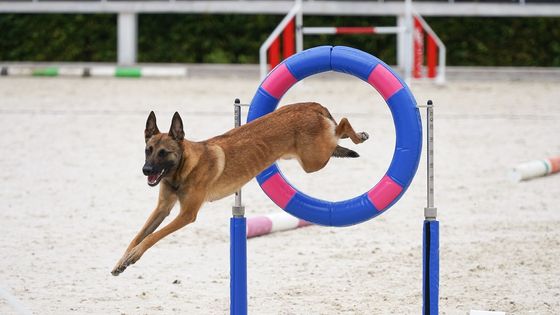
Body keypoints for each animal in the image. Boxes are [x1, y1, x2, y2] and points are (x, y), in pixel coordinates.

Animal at [111, 102, 370, 276]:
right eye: (148, 150)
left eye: (163, 153)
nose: (146, 170)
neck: (182, 168)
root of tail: (310, 105)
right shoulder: (162, 209)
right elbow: (139, 235)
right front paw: (122, 260)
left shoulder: (186, 215)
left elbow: (153, 236)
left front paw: (134, 256)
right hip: (311, 157)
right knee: (336, 137)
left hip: (313, 161)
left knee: (342, 124)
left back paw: (358, 135)